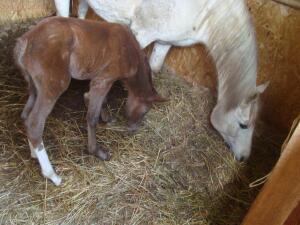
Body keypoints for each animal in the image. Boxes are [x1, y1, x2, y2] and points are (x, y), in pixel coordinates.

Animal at [55, 0, 268, 162]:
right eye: (243, 124)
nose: (243, 157)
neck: (206, 9)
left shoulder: (165, 41)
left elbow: (153, 70)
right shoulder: (140, 32)